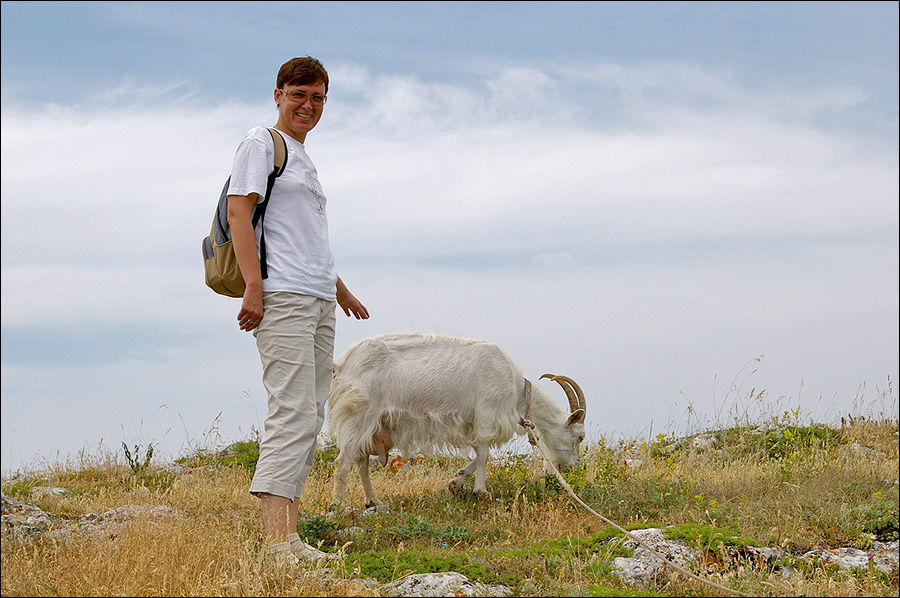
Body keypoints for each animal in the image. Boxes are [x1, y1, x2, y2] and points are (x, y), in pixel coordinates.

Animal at [326, 332, 588, 506]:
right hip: (358, 413)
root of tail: (341, 364)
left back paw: (373, 502)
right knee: (343, 460)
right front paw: (481, 491)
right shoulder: (487, 414)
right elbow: (484, 453)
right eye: (579, 436)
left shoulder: (472, 423)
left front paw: (457, 481)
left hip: (371, 425)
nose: (573, 468)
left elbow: (478, 454)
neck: (516, 389)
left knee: (361, 461)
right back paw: (338, 506)